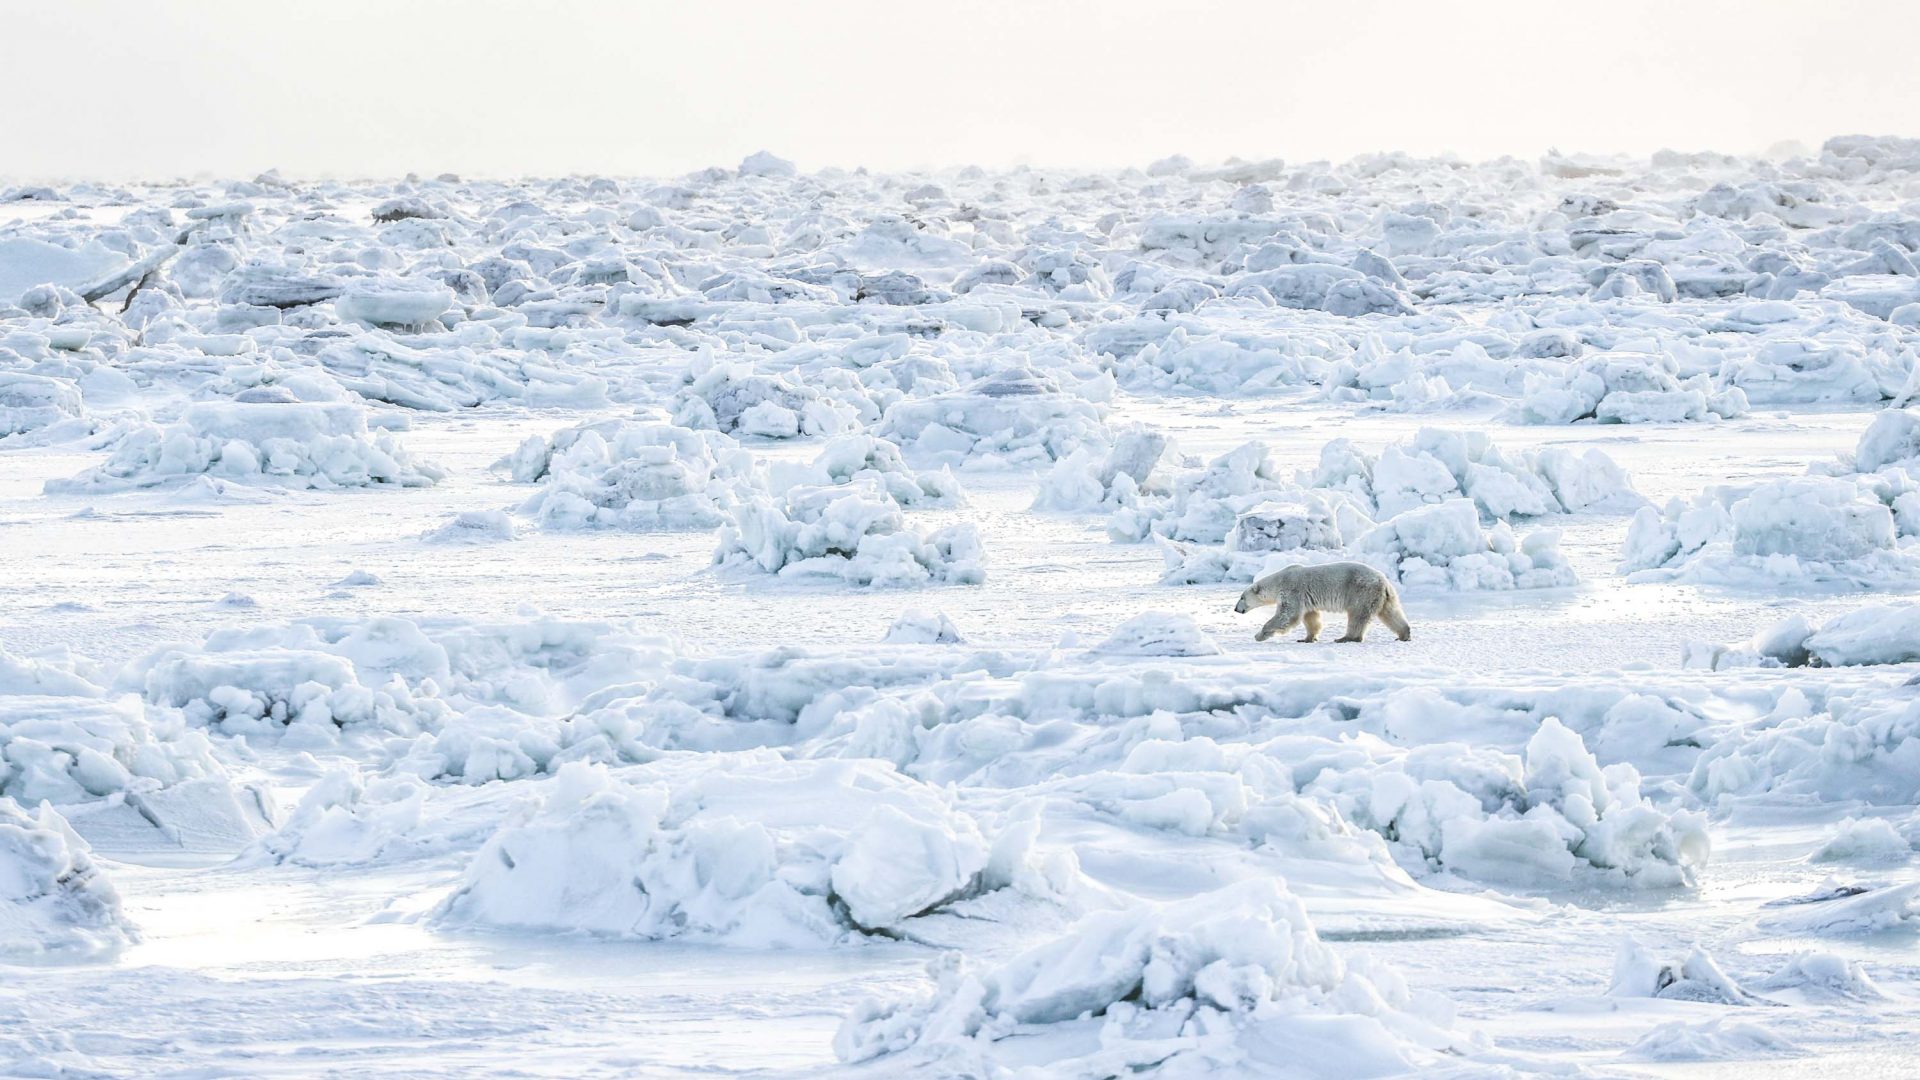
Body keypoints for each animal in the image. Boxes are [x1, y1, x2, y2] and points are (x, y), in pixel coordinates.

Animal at [1228, 564, 1413, 638]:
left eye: (1241, 597)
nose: (1236, 609)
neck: (1279, 580)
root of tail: (1383, 581)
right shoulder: (1305, 598)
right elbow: (1310, 617)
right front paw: (1308, 638)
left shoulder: (1292, 590)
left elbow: (1287, 615)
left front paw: (1260, 635)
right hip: (1384, 596)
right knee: (1391, 612)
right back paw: (1404, 634)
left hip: (1362, 590)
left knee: (1358, 615)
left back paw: (1347, 637)